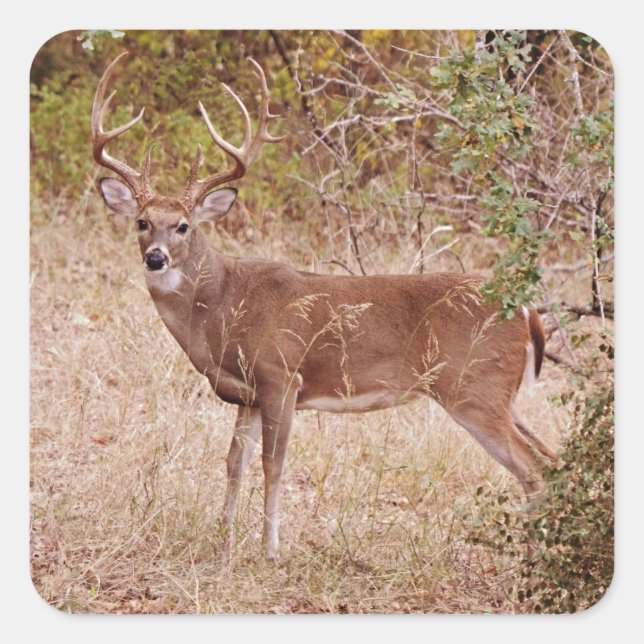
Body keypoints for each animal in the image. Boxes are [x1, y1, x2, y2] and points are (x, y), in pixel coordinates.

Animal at [92, 53, 558, 561]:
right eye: (142, 222)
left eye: (182, 226)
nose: (155, 258)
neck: (223, 307)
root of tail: (525, 311)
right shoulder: (247, 394)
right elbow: (233, 462)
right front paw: (223, 535)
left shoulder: (281, 375)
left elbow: (273, 466)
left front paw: (270, 550)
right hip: (502, 394)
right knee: (552, 458)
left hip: (473, 387)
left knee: (532, 469)